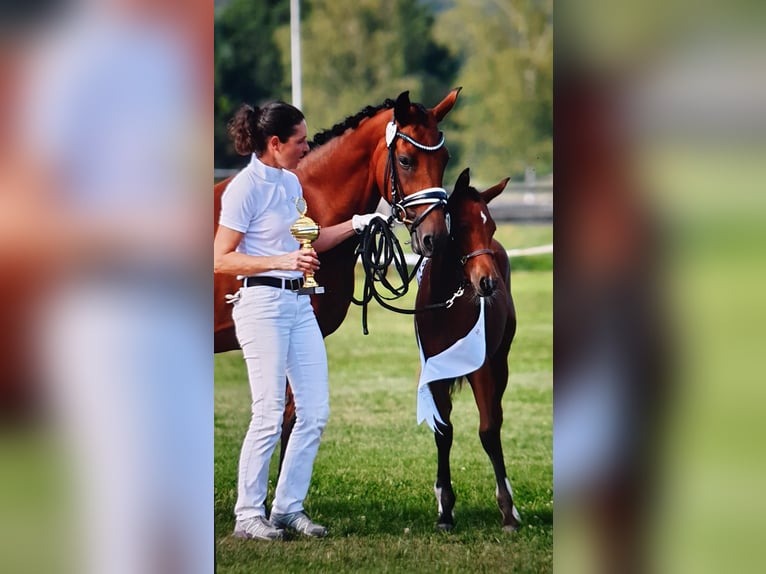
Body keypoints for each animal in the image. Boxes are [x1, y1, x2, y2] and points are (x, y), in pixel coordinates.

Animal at [414, 169, 520, 532]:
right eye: (459, 226)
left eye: (492, 227)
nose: (488, 283)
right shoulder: (435, 374)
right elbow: (443, 432)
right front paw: (445, 510)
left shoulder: (482, 369)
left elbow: (488, 430)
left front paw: (508, 512)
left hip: (501, 364)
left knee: (496, 419)